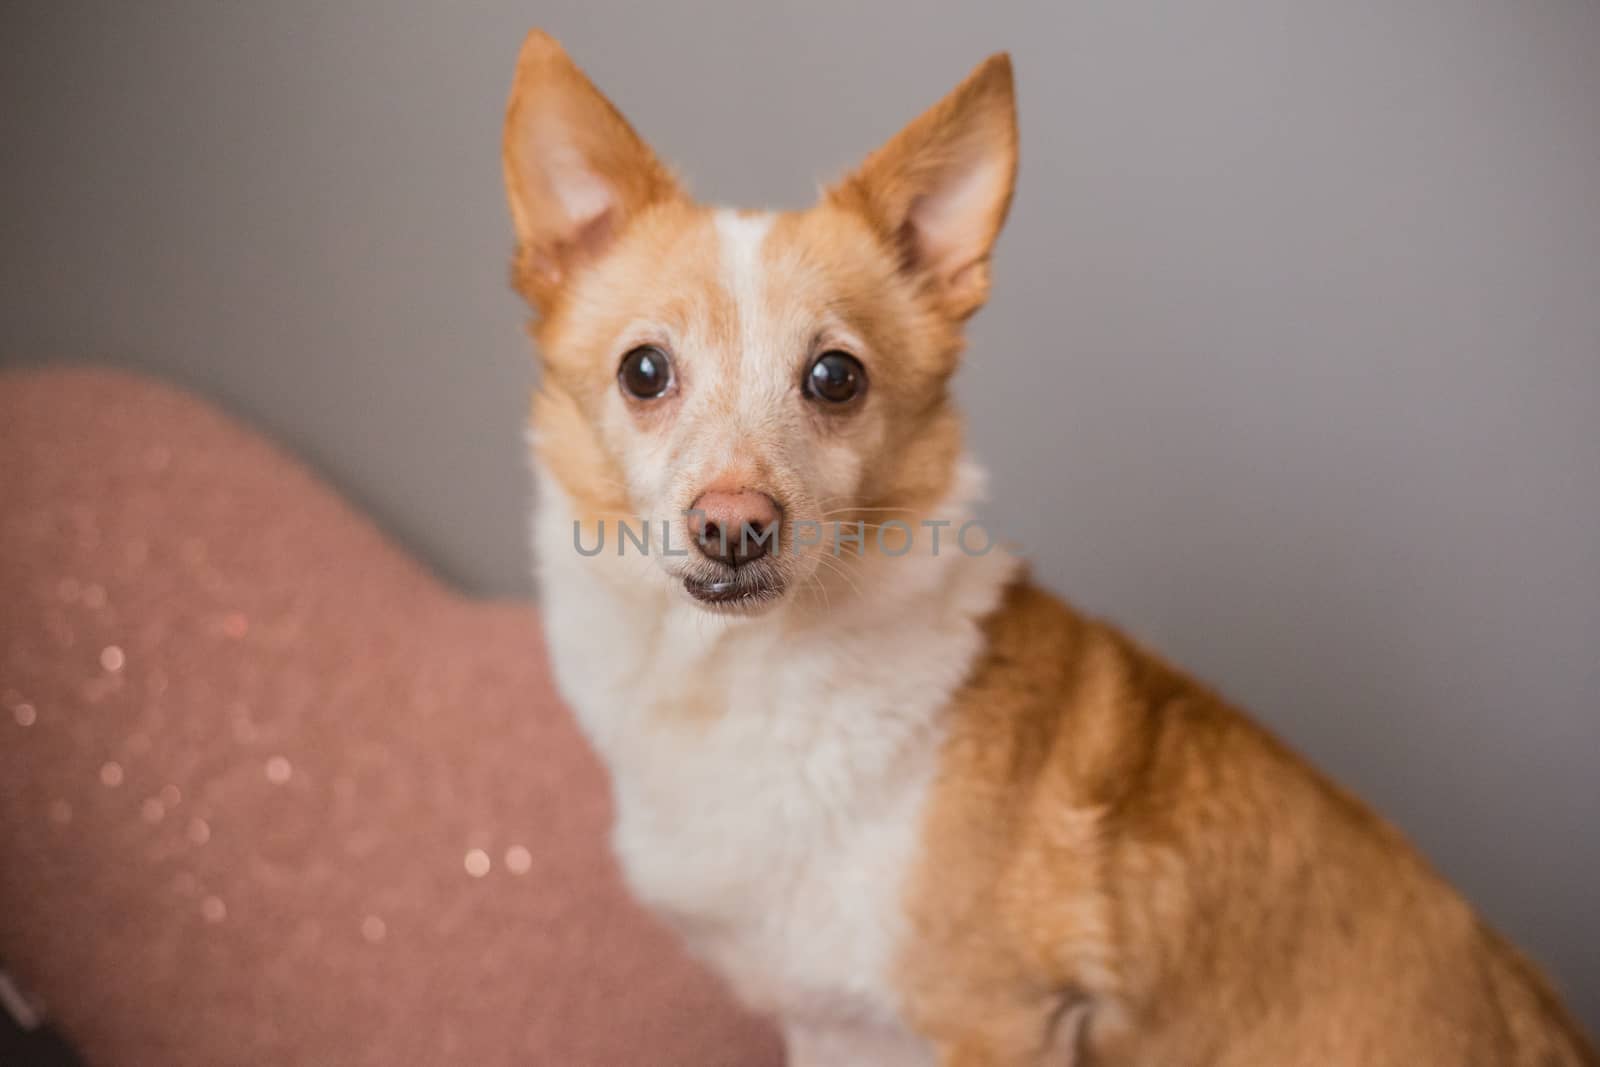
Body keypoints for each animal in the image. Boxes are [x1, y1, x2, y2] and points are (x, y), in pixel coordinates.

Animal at [492, 29, 1593, 1062]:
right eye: (643, 370)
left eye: (836, 378)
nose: (734, 524)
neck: (735, 681)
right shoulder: (828, 1028)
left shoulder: (1003, 1023)